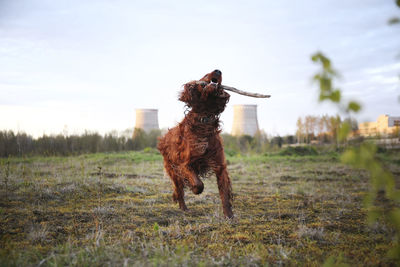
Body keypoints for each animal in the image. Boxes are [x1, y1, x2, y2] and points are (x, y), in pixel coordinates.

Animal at [158, 70, 233, 219]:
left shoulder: (220, 165)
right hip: (172, 170)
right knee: (179, 190)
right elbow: (198, 184)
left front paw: (229, 216)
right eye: (205, 75)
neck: (204, 121)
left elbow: (224, 193)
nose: (218, 71)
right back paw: (184, 208)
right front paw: (194, 189)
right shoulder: (184, 164)